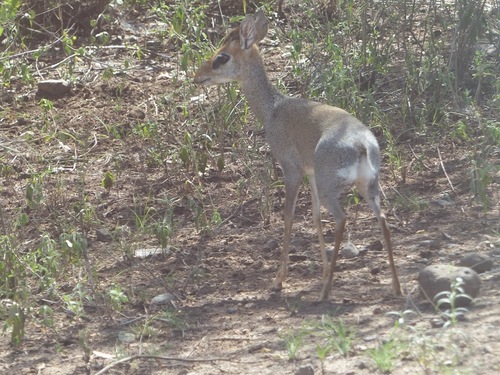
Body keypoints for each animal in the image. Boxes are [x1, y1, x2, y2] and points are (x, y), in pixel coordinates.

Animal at [192, 10, 402, 302]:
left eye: (221, 57)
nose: (197, 76)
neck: (272, 110)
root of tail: (362, 145)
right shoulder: (310, 172)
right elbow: (314, 216)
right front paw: (322, 272)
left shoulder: (291, 169)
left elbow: (289, 217)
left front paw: (278, 281)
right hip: (368, 185)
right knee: (383, 221)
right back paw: (396, 287)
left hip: (331, 187)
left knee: (342, 219)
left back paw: (325, 292)